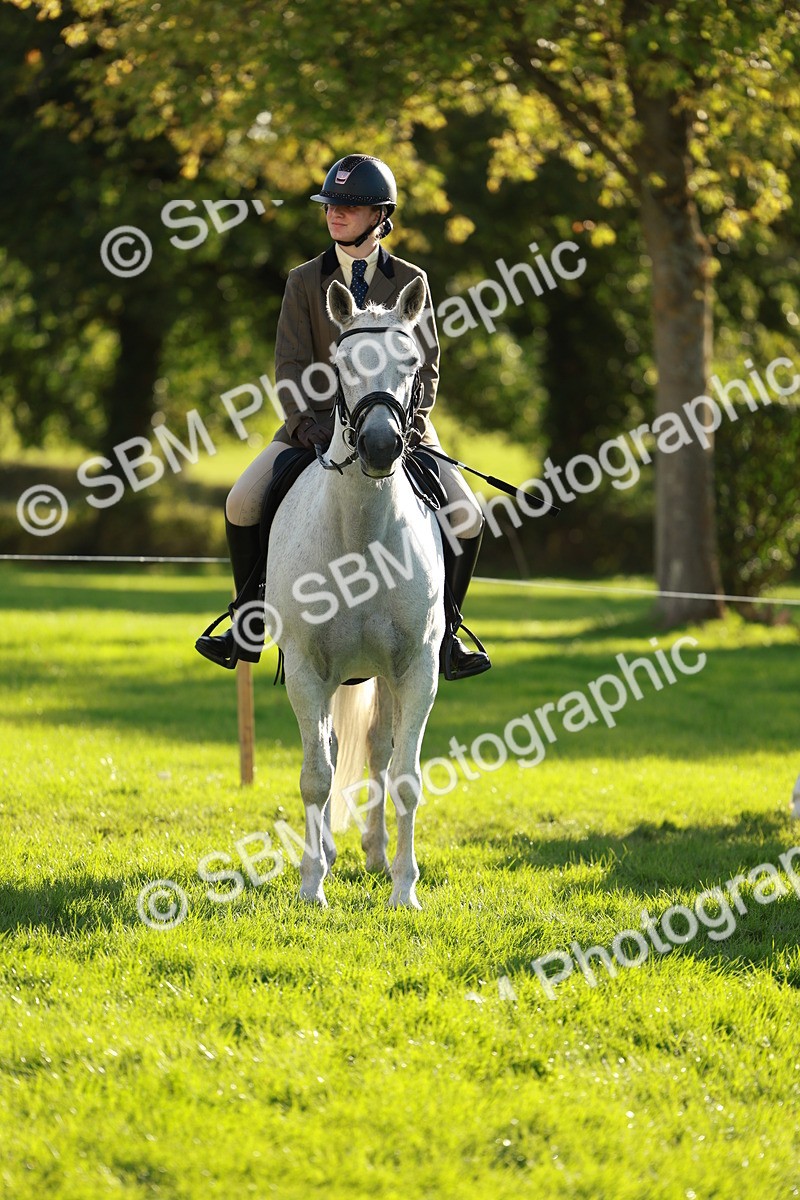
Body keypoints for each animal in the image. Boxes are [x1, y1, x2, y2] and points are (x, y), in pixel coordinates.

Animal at [265, 276, 445, 908]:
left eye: (412, 361)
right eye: (340, 366)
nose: (381, 446)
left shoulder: (418, 668)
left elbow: (407, 777)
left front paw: (405, 892)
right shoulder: (305, 669)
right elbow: (315, 776)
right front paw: (311, 886)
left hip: (385, 676)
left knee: (377, 750)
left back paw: (376, 855)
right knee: (335, 748)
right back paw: (329, 854)